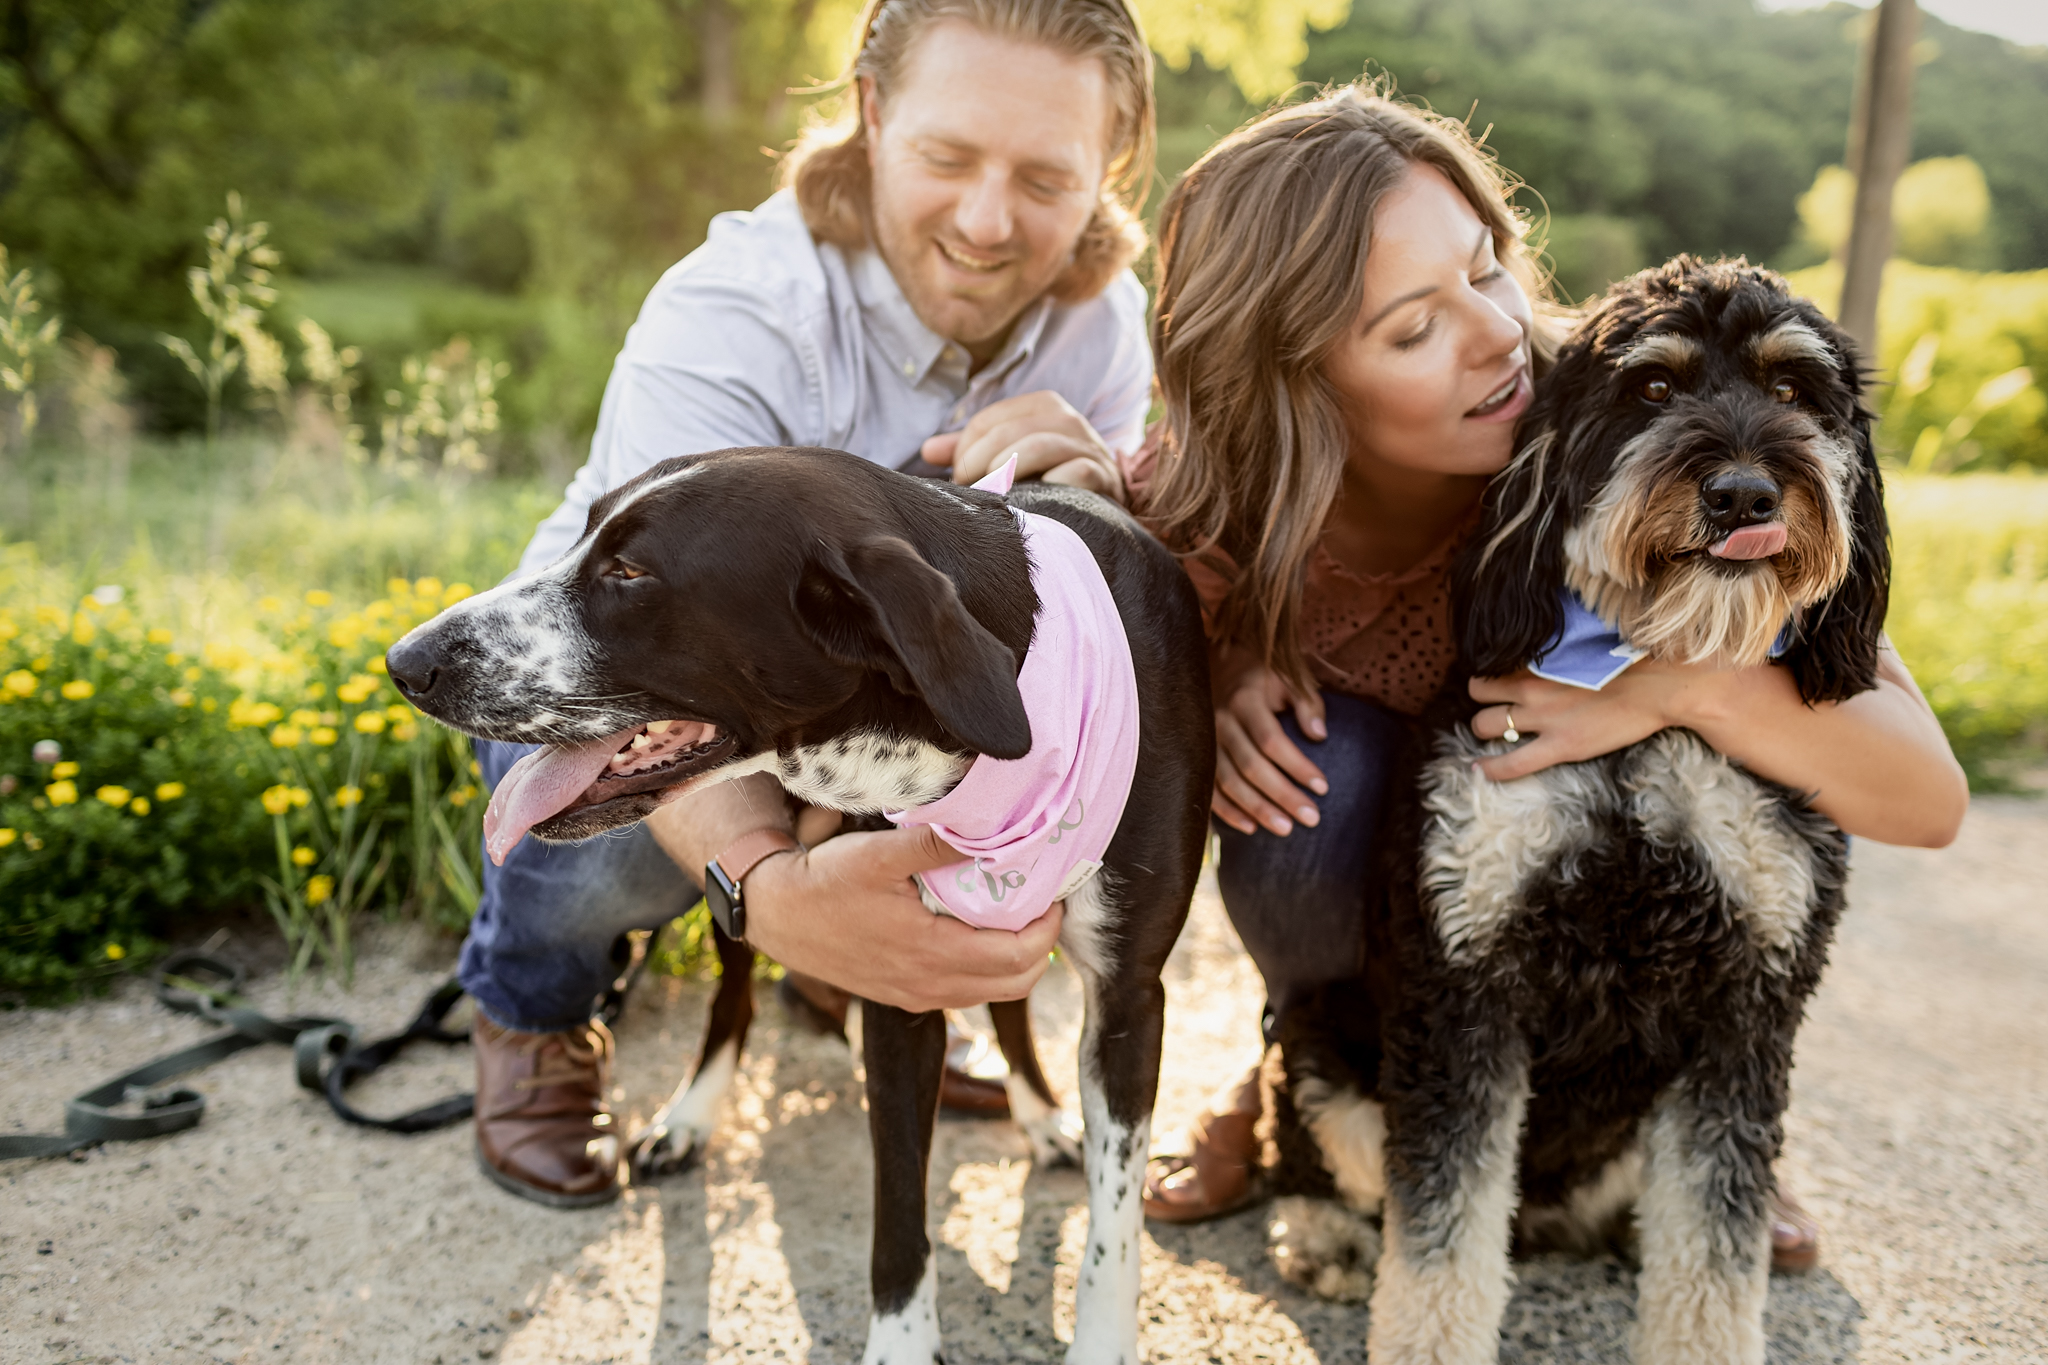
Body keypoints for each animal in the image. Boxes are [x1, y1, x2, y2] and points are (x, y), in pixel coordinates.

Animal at [385, 450, 1212, 1365]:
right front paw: (900, 1346)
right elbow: (899, 1218)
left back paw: (1037, 1112)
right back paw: (692, 1113)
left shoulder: (1131, 998)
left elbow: (1116, 1226)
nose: (403, 660)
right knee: (735, 994)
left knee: (1009, 1003)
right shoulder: (896, 971)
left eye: (629, 572)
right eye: (585, 533)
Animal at [1261, 258, 1884, 1365]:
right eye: (1652, 388)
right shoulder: (1461, 986)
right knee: (1323, 1154)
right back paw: (1322, 1231)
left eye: (1789, 389)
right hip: (1320, 1030)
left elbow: (1713, 1254)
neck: (1644, 705)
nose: (1742, 493)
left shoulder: (1746, 1012)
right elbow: (1439, 1240)